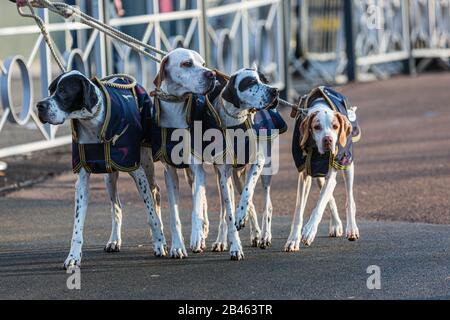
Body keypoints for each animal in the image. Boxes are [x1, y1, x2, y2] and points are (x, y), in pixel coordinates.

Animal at [35, 70, 165, 268]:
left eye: (63, 91)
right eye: (50, 89)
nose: (39, 106)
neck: (92, 121)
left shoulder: (137, 172)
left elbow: (150, 213)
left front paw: (158, 243)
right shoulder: (81, 182)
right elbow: (77, 225)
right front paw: (73, 256)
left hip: (146, 164)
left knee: (155, 193)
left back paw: (161, 234)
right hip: (109, 177)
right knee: (116, 207)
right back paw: (114, 240)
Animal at [149, 47, 216, 258]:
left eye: (203, 64)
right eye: (186, 63)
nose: (211, 74)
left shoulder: (197, 168)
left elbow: (196, 207)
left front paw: (196, 236)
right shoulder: (169, 173)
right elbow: (174, 215)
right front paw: (177, 246)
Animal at [284, 86, 362, 251]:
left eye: (335, 126)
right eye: (316, 127)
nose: (328, 140)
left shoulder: (333, 170)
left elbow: (320, 204)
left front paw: (309, 231)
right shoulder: (304, 175)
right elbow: (299, 210)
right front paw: (293, 239)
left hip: (347, 163)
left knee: (349, 199)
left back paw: (352, 228)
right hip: (318, 174)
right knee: (329, 196)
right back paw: (336, 224)